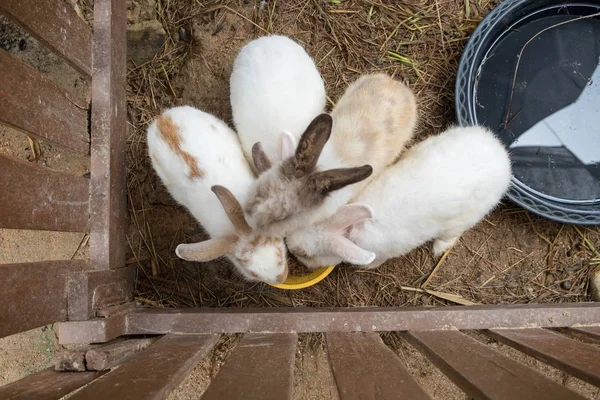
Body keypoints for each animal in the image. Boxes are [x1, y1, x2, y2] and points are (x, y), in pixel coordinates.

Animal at [284, 125, 510, 268]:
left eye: (304, 254)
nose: (289, 245)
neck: (353, 231)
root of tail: (501, 155)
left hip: (464, 219)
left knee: (452, 235)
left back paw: (438, 248)